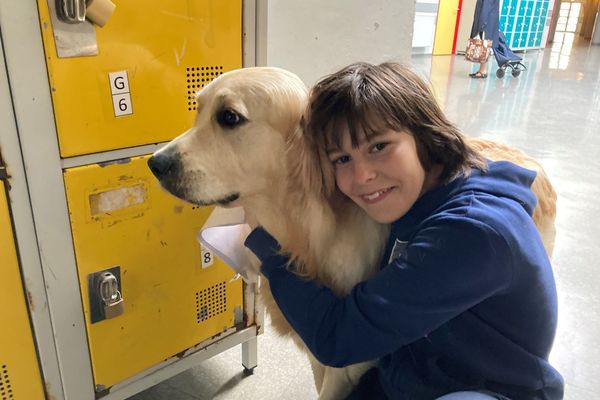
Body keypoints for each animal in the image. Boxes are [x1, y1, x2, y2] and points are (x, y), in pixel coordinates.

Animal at [146, 67, 556, 398]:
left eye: (229, 117)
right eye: (198, 109)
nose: (155, 163)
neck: (307, 229)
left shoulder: (347, 364)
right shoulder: (319, 357)